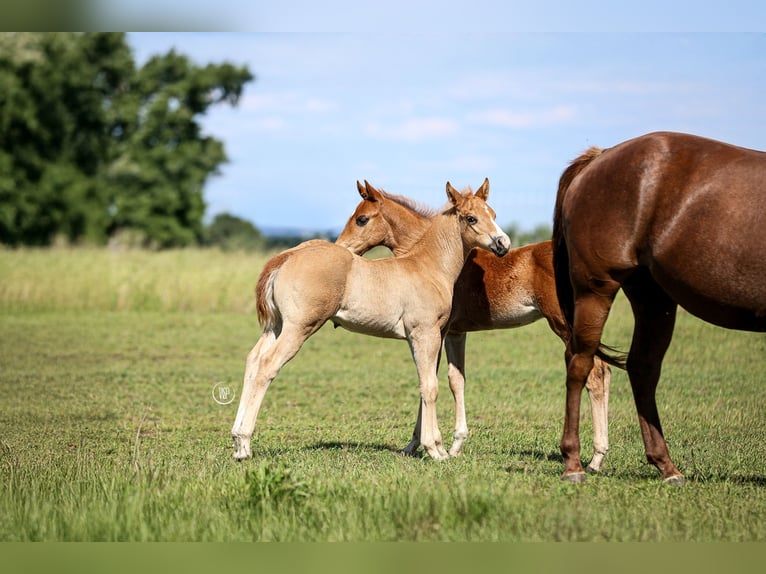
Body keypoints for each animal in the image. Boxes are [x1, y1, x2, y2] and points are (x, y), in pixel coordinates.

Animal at [231, 180, 511, 461]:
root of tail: (286, 256)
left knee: (253, 360)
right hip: (298, 328)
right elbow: (431, 386)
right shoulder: (426, 333)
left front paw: (431, 446)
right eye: (471, 218)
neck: (427, 266)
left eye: (493, 214)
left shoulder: (423, 338)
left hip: (276, 327)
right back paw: (244, 444)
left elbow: (424, 383)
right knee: (267, 365)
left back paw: (236, 438)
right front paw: (435, 450)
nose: (503, 244)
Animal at [336, 182, 613, 471]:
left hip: (563, 324)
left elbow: (434, 381)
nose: (341, 247)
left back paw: (595, 458)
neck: (431, 259)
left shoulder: (441, 331)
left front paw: (425, 445)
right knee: (604, 371)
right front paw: (447, 444)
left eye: (361, 219)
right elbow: (455, 380)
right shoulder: (456, 333)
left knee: (595, 374)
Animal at [552, 131, 766, 485]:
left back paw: (666, 465)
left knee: (642, 368)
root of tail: (601, 156)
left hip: (653, 297)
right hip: (595, 290)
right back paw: (573, 463)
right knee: (580, 363)